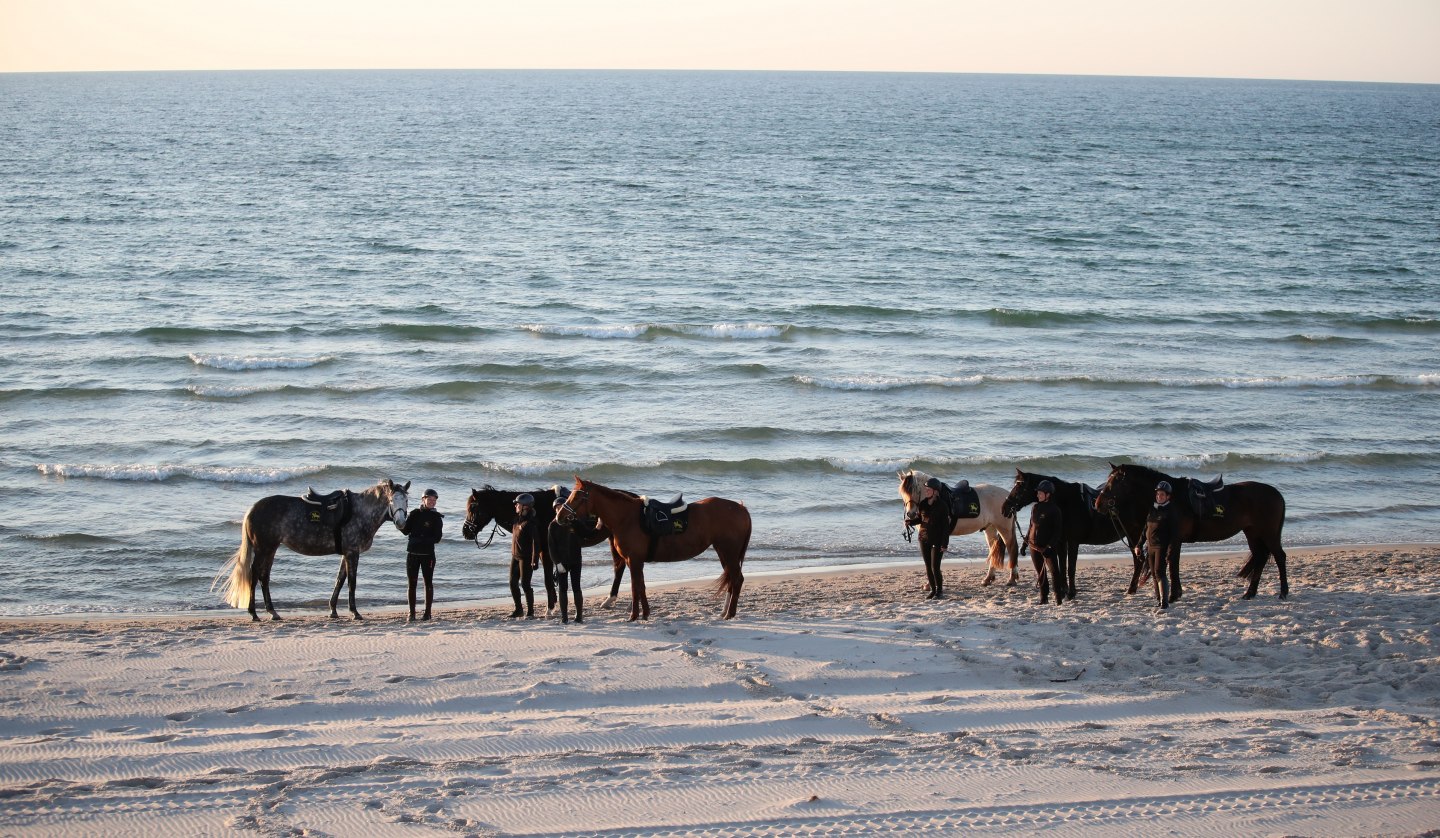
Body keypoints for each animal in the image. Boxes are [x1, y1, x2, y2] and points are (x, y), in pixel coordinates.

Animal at [216, 480, 414, 624]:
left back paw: (272, 612)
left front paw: (333, 610)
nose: (401, 523)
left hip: (270, 549)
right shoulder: (352, 552)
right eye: (391, 500)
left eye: (406, 500)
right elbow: (352, 582)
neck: (359, 511)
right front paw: (355, 611)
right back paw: (254, 613)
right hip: (264, 548)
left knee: (264, 578)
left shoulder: (346, 553)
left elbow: (340, 580)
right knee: (255, 575)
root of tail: (252, 510)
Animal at [455, 486, 624, 610]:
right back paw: (610, 599)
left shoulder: (546, 551)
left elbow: (548, 579)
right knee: (619, 567)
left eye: (473, 507)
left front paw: (550, 608)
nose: (466, 531)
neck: (539, 511)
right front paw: (553, 603)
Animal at [552, 480, 754, 624]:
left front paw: (633, 616)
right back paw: (725, 612)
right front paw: (645, 614)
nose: (560, 517)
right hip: (725, 553)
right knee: (732, 580)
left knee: (737, 579)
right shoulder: (634, 561)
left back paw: (730, 614)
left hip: (728, 553)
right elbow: (641, 587)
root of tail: (742, 508)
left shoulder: (633, 560)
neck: (627, 517)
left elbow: (635, 588)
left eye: (577, 498)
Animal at [996, 472, 1128, 604]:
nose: (1004, 508)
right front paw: (1064, 591)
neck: (1066, 503)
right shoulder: (1061, 541)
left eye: (1020, 486)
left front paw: (1071, 593)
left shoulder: (1073, 542)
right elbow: (1062, 566)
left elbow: (1071, 568)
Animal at [1094, 466, 1290, 604]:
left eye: (1116, 481)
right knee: (1260, 557)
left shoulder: (1175, 539)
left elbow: (1172, 563)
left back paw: (1283, 592)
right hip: (1252, 533)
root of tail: (1277, 495)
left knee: (1279, 557)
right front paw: (1176, 593)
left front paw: (1173, 595)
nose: (1098, 504)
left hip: (1269, 534)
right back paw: (1250, 593)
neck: (1173, 498)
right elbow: (1173, 563)